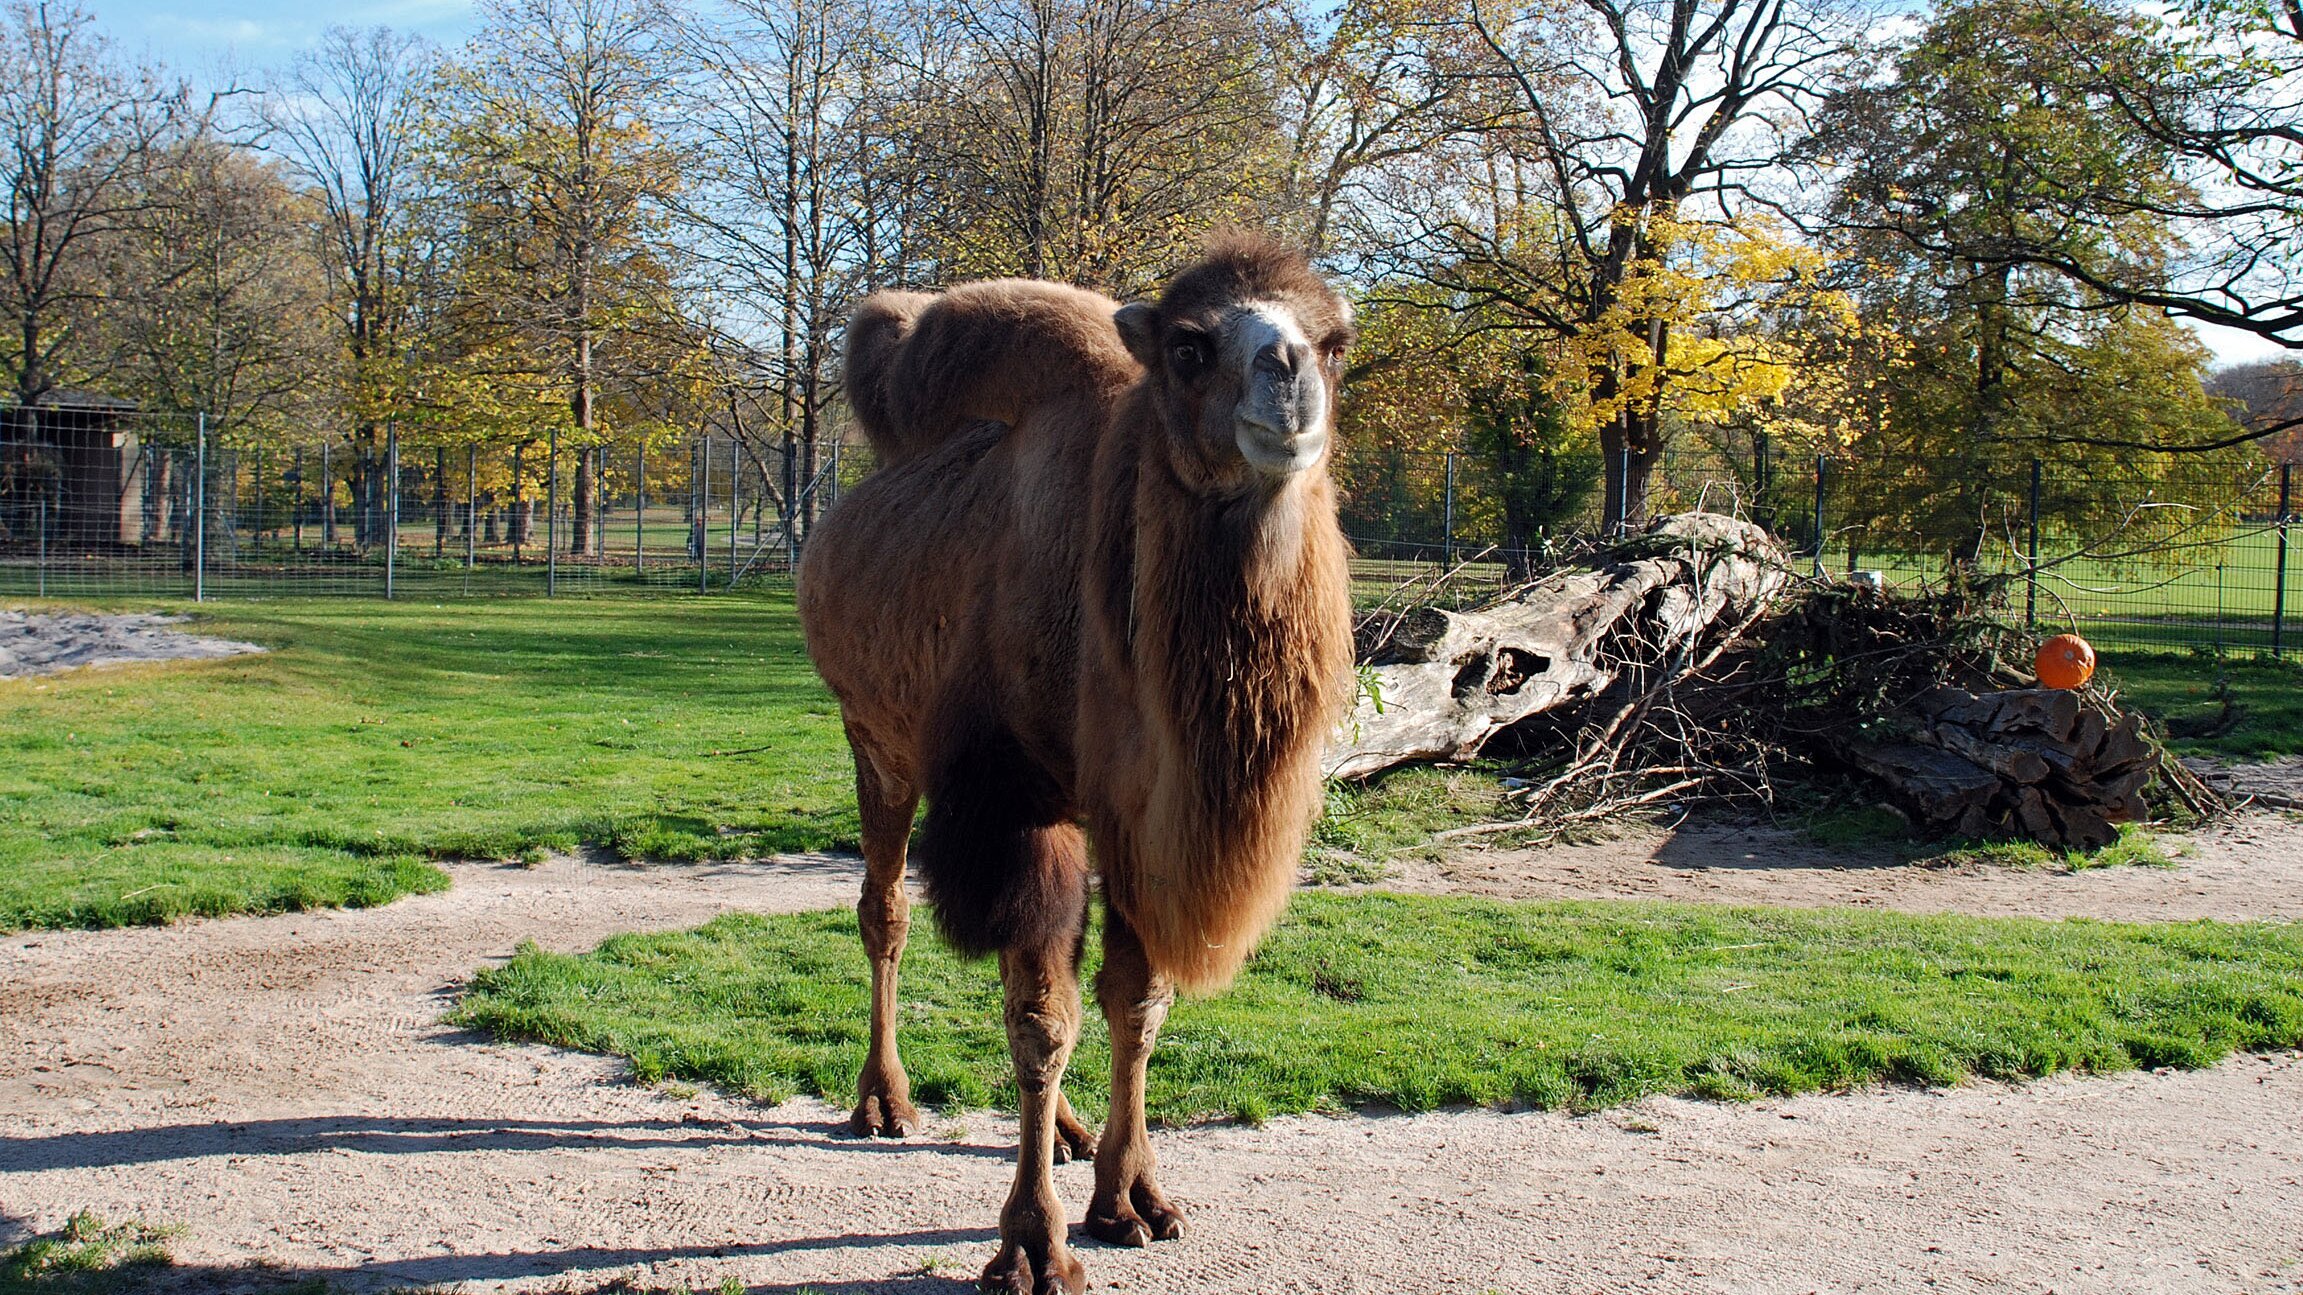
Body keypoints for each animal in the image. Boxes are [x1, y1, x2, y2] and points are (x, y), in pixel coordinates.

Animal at [801, 233, 1354, 1290]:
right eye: (1187, 345)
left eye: (1335, 342)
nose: (1288, 373)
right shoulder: (1018, 798)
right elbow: (1042, 1022)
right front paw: (1032, 1243)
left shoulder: (1135, 820)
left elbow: (1133, 1002)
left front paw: (1132, 1195)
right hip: (873, 739)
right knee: (886, 914)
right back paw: (883, 1100)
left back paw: (1064, 1130)